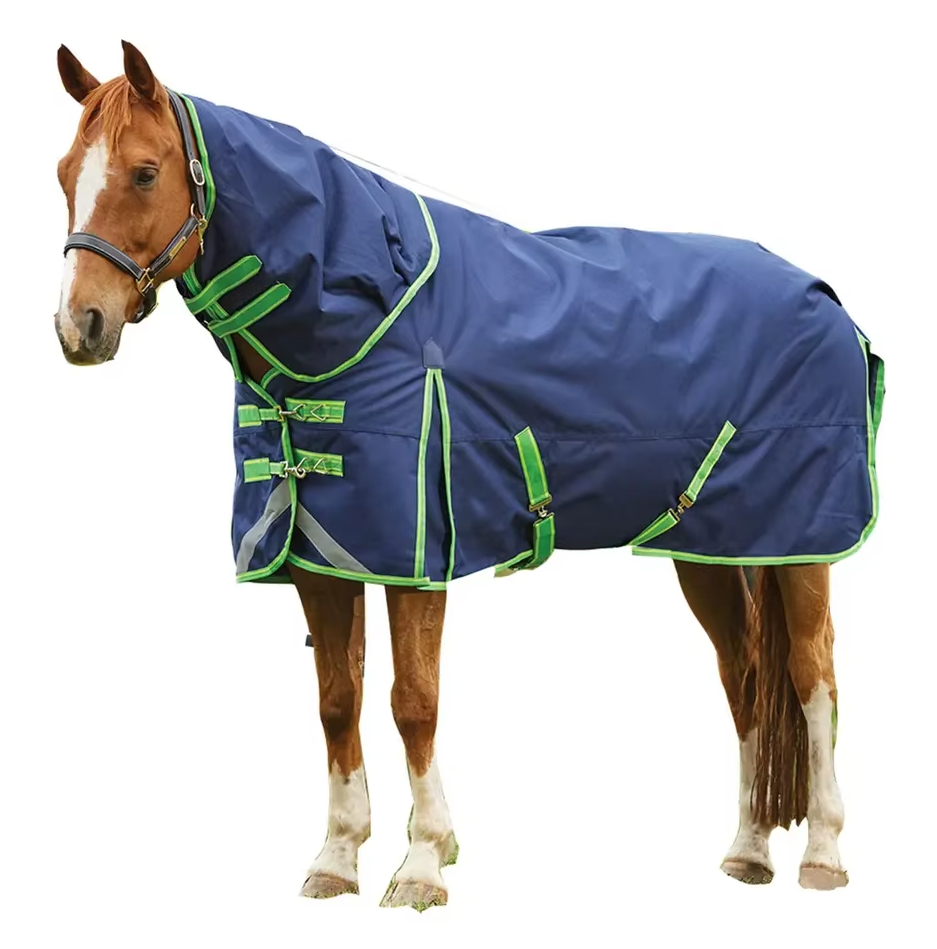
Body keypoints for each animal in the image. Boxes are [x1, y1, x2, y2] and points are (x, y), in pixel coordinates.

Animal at [53, 41, 883, 910]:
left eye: (145, 172)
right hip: (709, 548)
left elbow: (412, 702)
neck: (358, 315)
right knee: (745, 679)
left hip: (802, 543)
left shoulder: (416, 555)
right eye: (64, 170)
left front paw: (423, 861)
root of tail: (826, 299)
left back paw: (822, 853)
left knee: (812, 676)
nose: (80, 325)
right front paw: (337, 856)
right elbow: (336, 701)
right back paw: (748, 848)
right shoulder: (322, 555)